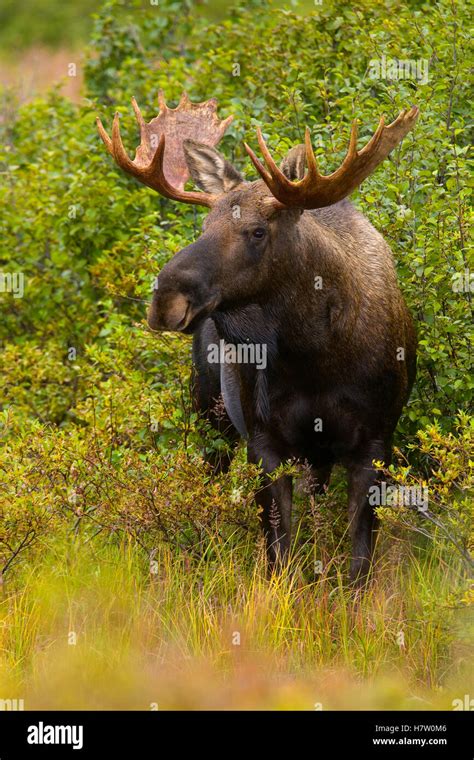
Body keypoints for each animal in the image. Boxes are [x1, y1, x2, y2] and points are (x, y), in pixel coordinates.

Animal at [97, 92, 418, 584]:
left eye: (257, 231)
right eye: (203, 226)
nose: (165, 299)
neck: (317, 356)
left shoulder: (375, 444)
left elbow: (359, 566)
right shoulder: (264, 443)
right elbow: (278, 557)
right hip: (210, 416)